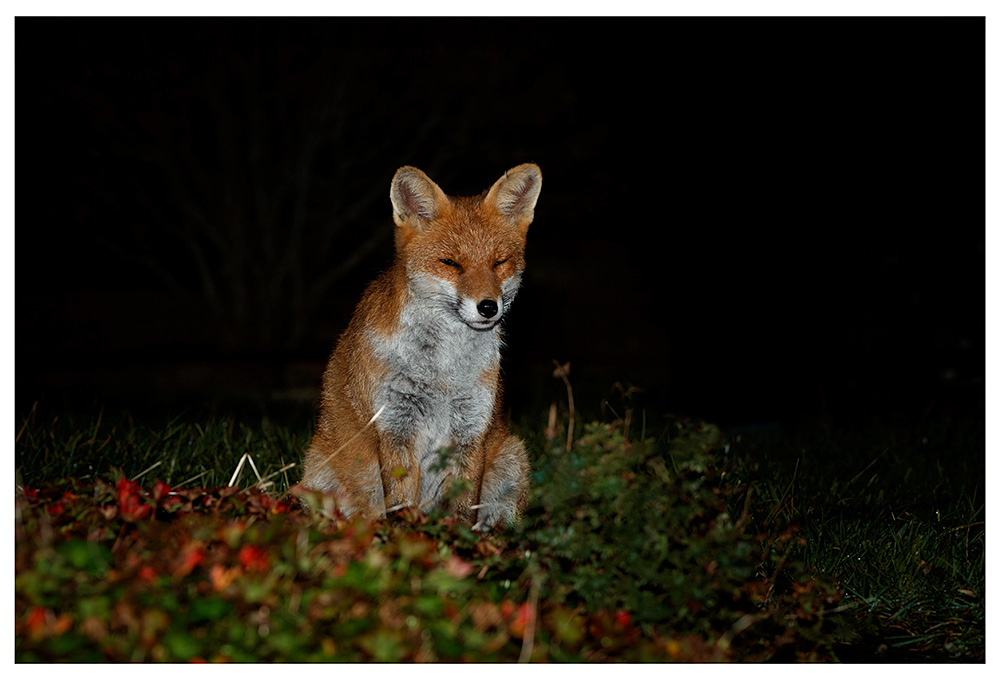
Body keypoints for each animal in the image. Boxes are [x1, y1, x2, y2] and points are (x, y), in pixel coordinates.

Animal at [299, 163, 542, 531]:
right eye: (450, 263)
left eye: (499, 262)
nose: (488, 307)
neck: (442, 372)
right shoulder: (396, 426)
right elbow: (400, 503)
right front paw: (404, 536)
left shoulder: (471, 429)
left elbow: (463, 505)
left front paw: (460, 540)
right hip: (319, 474)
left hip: (512, 457)